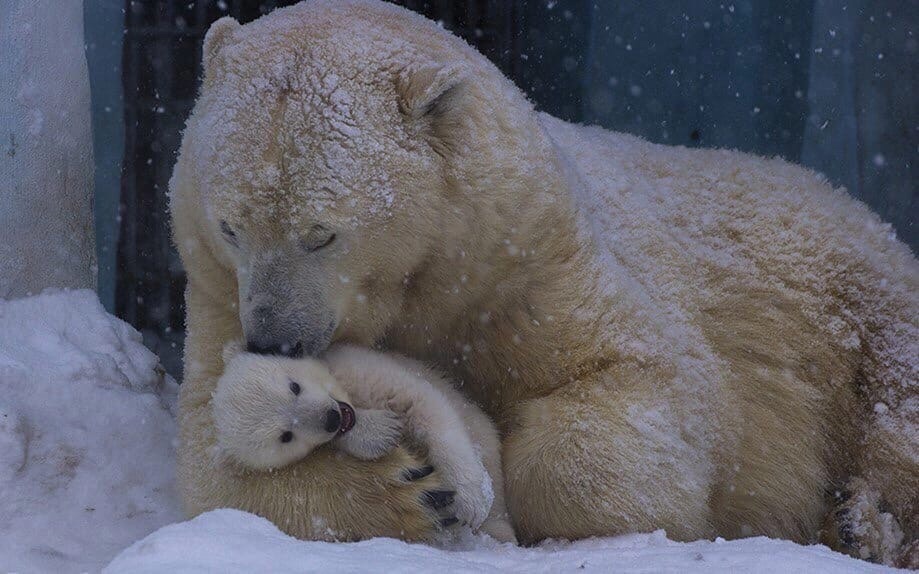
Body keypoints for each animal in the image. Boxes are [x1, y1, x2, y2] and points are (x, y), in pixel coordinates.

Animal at [215, 346, 516, 544]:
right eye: (285, 436)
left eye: (294, 386)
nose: (331, 418)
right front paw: (382, 431)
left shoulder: (361, 368)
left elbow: (425, 406)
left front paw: (470, 501)